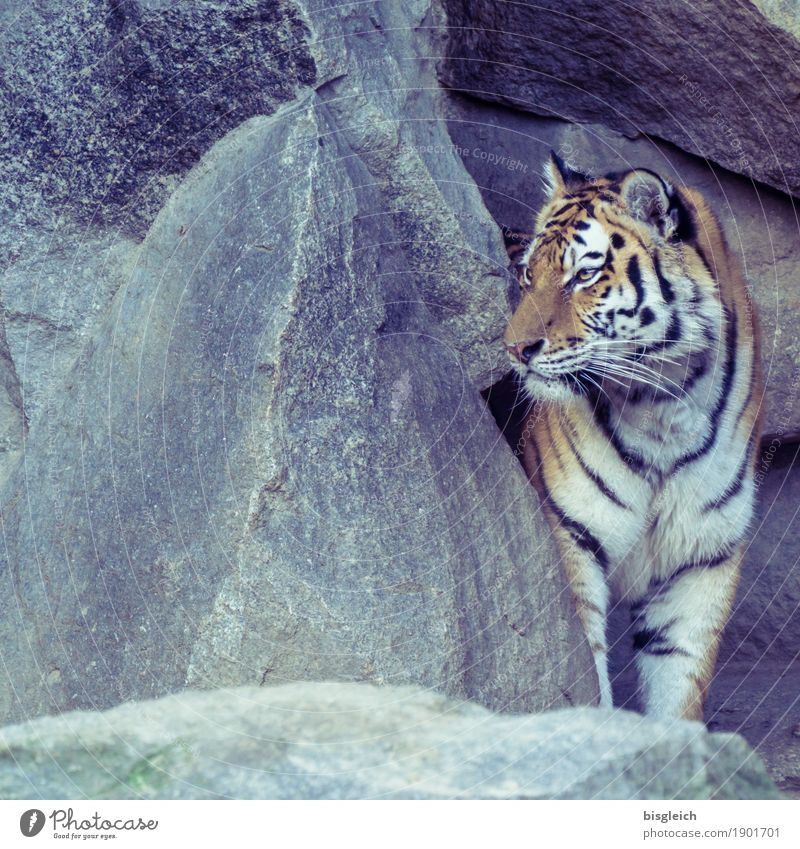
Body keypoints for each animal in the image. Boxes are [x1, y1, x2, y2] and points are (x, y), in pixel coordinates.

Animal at [506, 154, 764, 724]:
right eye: (528, 274)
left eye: (584, 274)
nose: (515, 349)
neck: (664, 405)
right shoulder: (572, 536)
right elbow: (590, 675)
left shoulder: (703, 562)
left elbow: (678, 690)